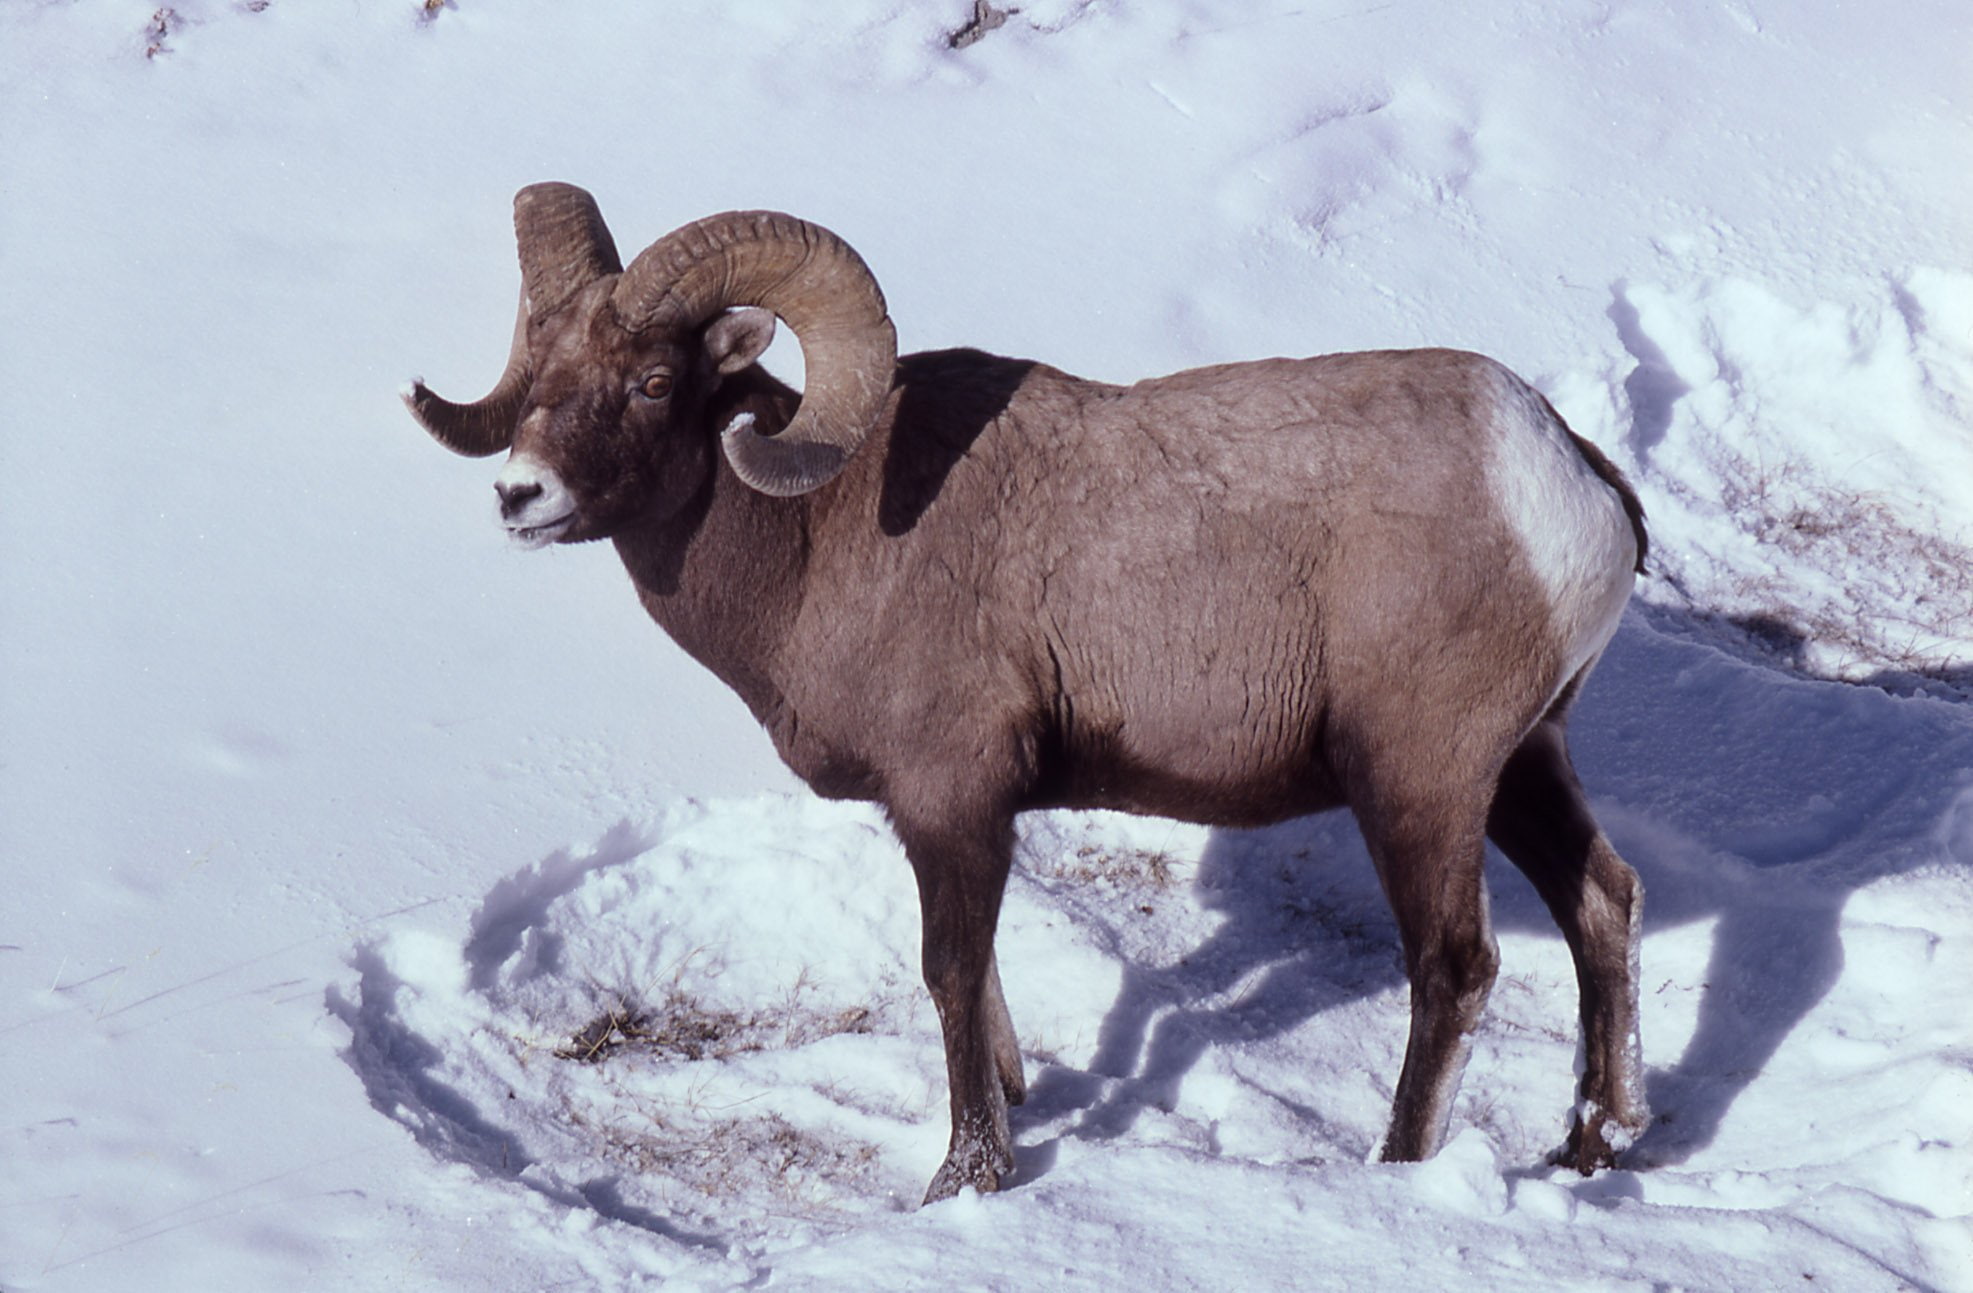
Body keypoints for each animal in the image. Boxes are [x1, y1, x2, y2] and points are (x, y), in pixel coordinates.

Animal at [404, 182, 1652, 1204]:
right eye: (539, 372)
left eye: (656, 381)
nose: (521, 496)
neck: (819, 543)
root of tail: (1567, 481)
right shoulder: (951, 815)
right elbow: (985, 978)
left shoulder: (954, 796)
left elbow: (951, 972)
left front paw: (967, 1177)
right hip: (1521, 763)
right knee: (1601, 902)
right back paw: (1592, 1144)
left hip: (1417, 784)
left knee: (1453, 968)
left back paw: (1395, 1173)